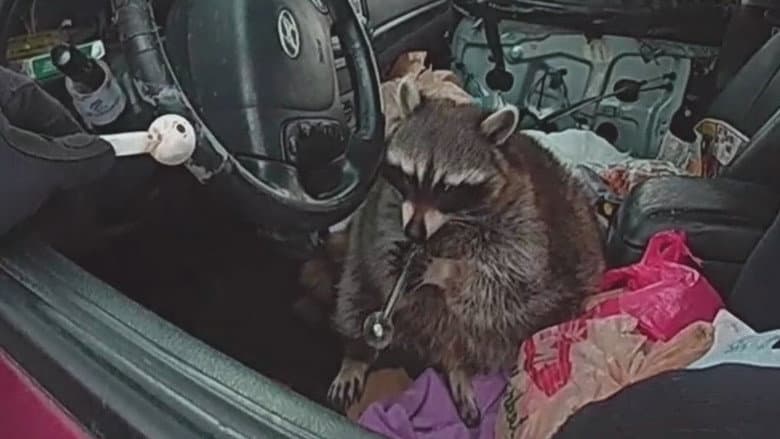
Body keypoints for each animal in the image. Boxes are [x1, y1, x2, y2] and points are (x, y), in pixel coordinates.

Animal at [327, 77, 605, 426]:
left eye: (447, 188)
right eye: (409, 176)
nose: (414, 233)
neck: (447, 225)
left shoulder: (525, 217)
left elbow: (510, 276)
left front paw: (445, 269)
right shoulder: (385, 201)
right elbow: (380, 236)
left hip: (561, 284)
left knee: (498, 321)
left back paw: (458, 365)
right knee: (356, 290)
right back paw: (357, 354)